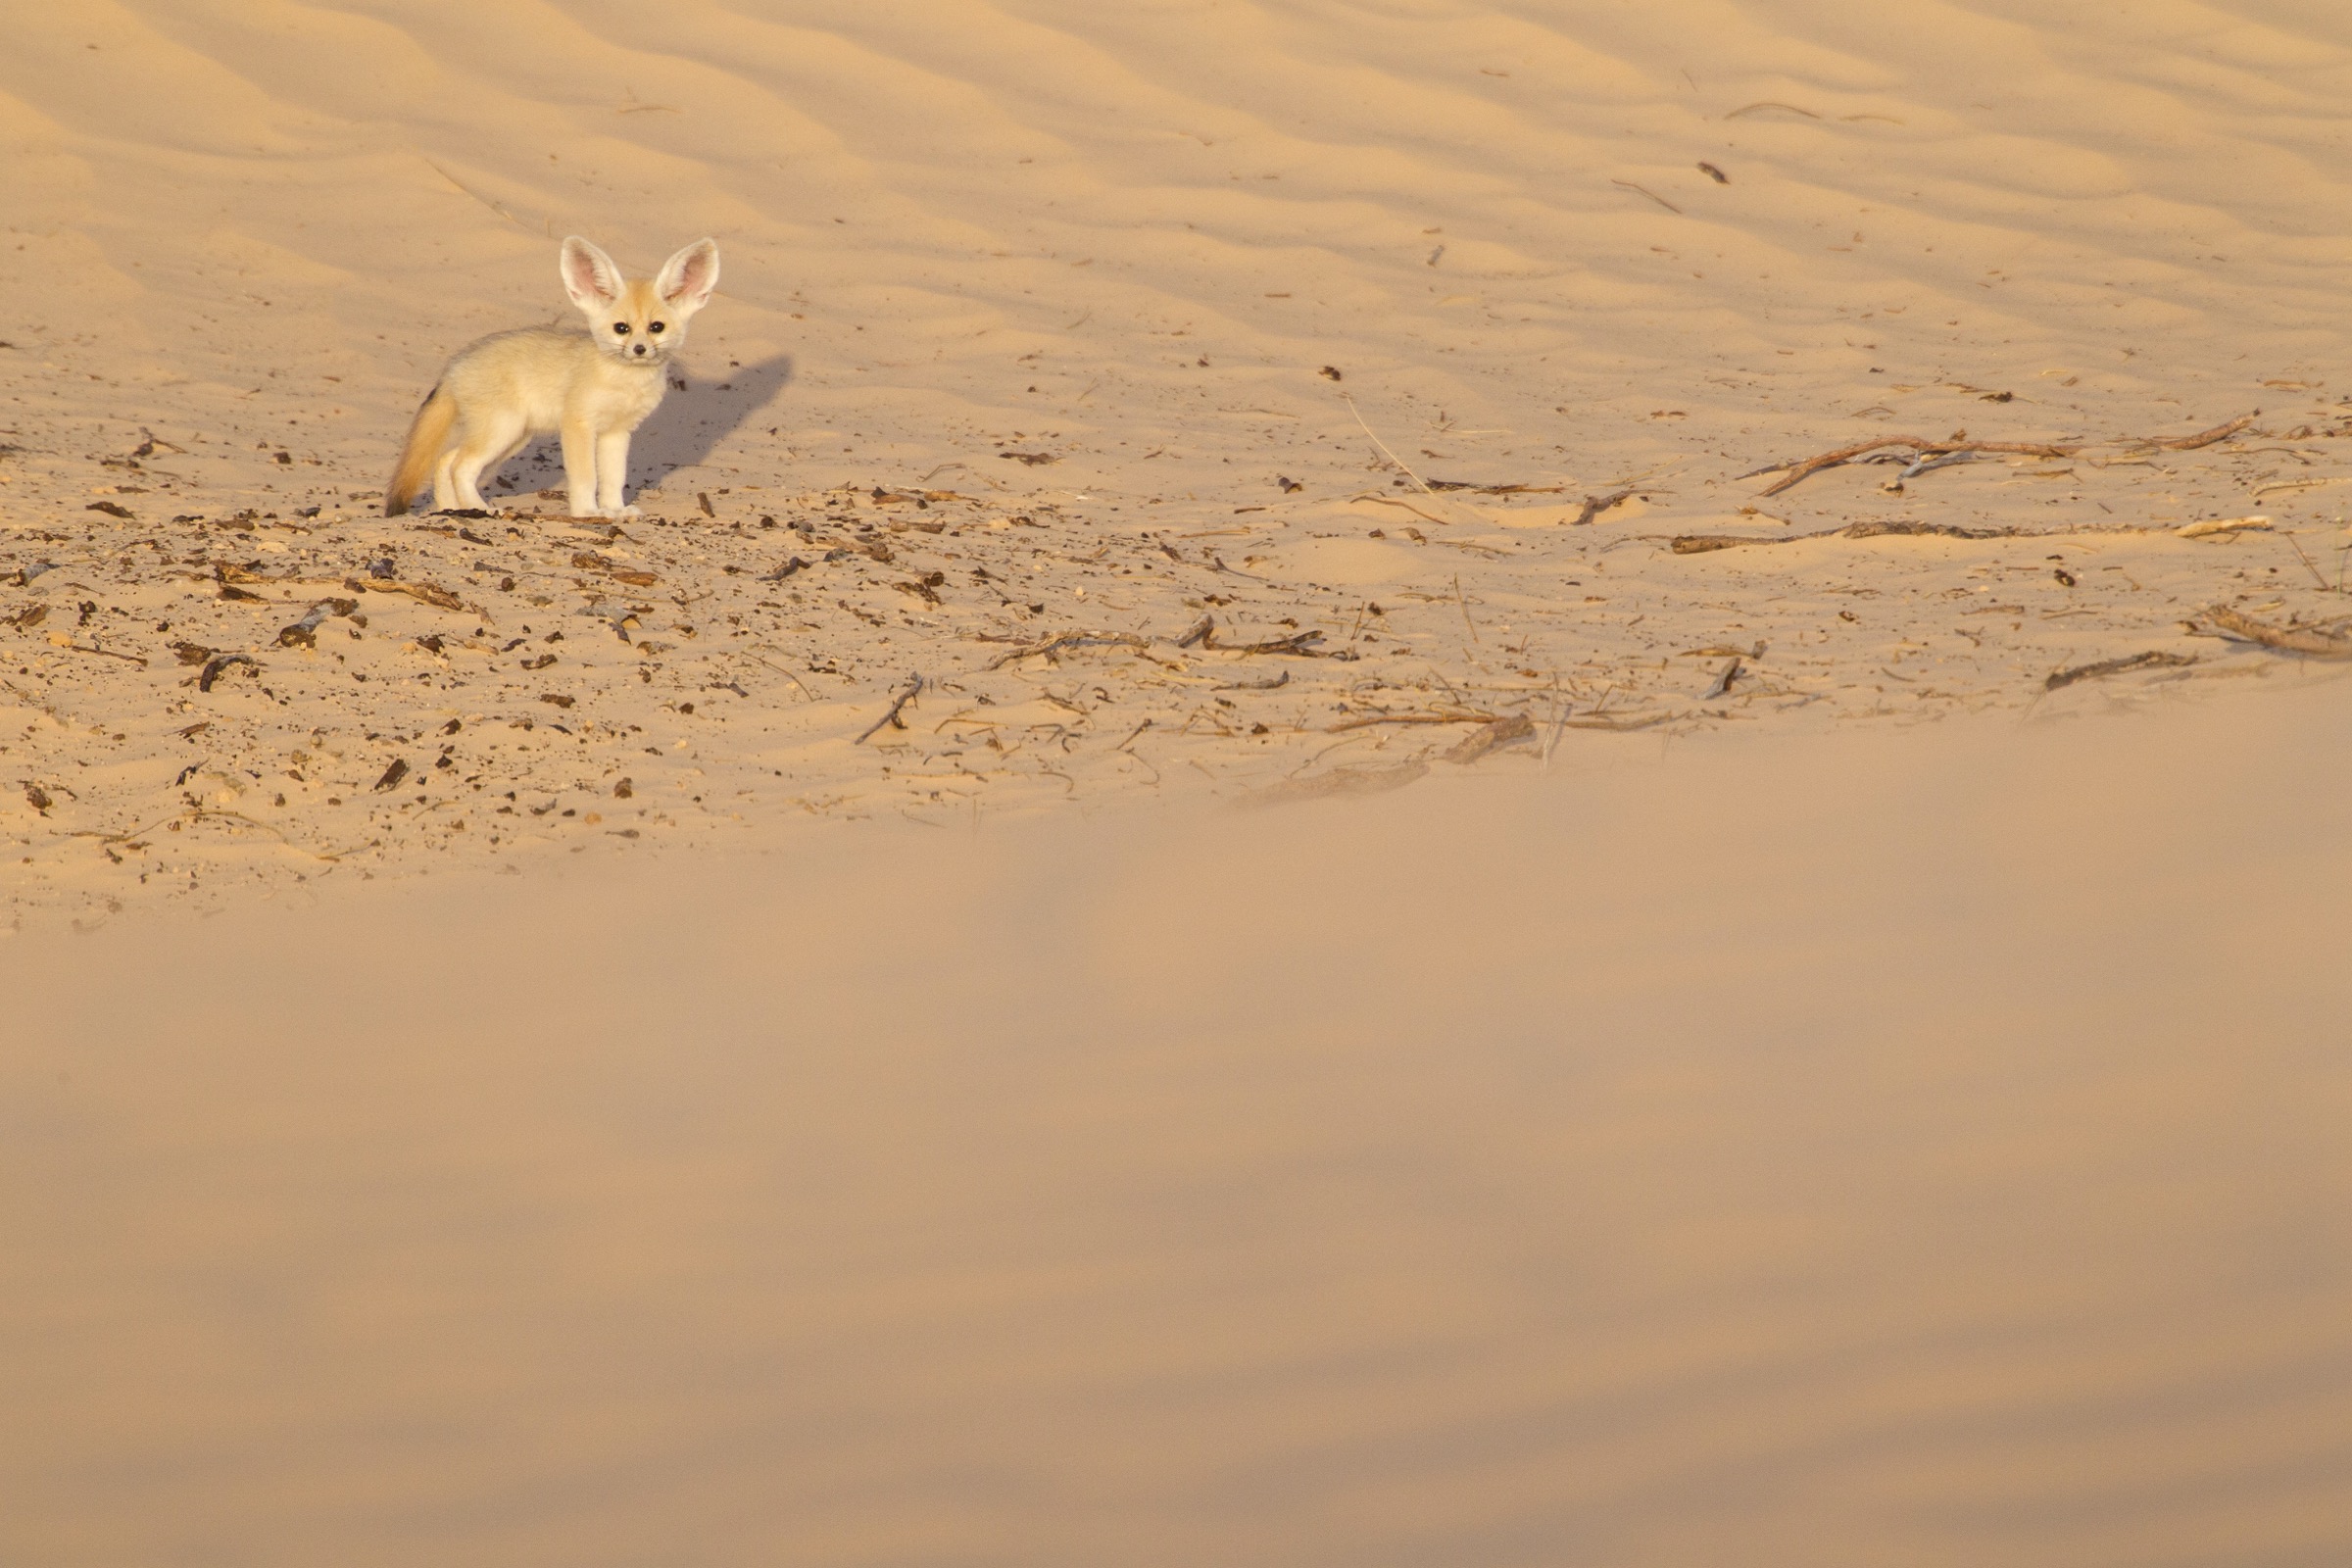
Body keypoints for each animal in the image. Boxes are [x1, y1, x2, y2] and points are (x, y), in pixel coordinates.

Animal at [383, 235, 721, 519]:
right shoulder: (578, 424)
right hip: (502, 431)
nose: (639, 349)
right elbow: (586, 477)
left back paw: (453, 509)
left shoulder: (617, 432)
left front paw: (615, 510)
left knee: (445, 461)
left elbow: (614, 479)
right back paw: (482, 509)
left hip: (511, 438)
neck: (625, 383)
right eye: (621, 329)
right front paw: (588, 512)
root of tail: (455, 363)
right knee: (460, 467)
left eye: (656, 328)